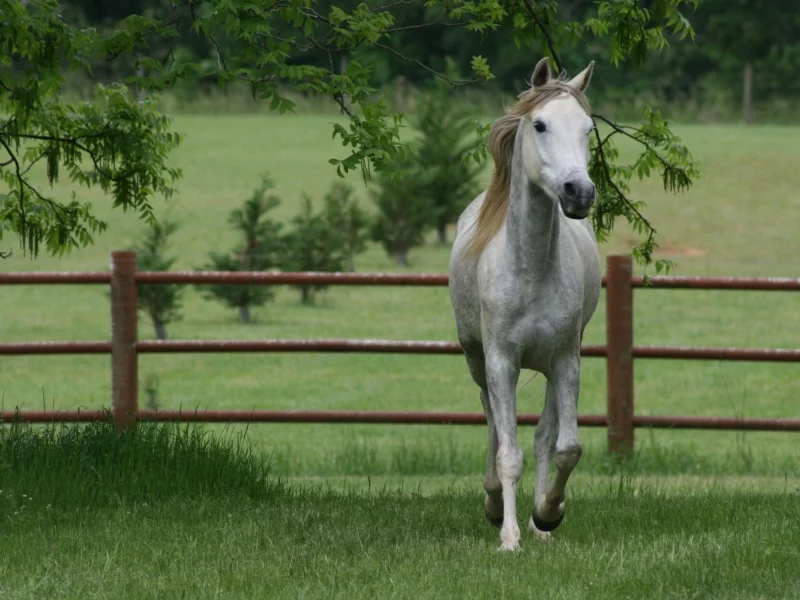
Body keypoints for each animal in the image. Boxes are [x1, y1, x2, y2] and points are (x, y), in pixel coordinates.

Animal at [450, 58, 600, 552]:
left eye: (588, 129)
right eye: (540, 124)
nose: (579, 193)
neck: (531, 270)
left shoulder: (566, 360)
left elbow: (564, 446)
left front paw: (547, 514)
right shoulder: (501, 361)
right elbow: (508, 453)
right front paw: (509, 537)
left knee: (543, 436)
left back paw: (537, 523)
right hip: (478, 361)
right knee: (493, 424)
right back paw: (495, 505)